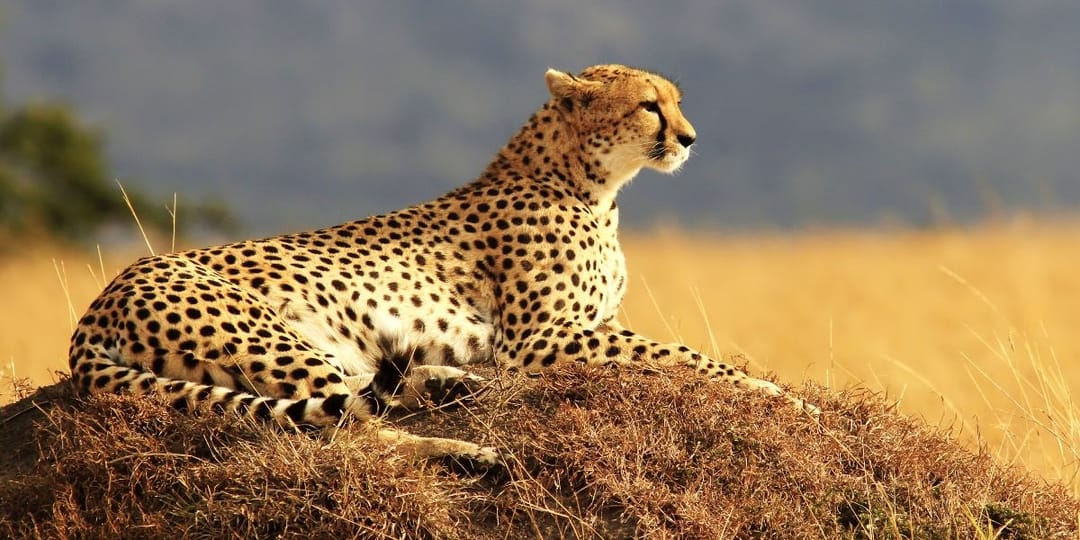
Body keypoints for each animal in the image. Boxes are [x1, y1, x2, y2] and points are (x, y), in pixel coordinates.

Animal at [68, 64, 818, 467]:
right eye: (648, 105)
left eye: (677, 101)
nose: (690, 138)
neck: (590, 183)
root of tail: (100, 300)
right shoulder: (542, 338)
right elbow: (681, 354)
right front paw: (780, 396)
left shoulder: (577, 329)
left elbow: (672, 351)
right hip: (267, 335)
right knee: (346, 430)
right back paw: (465, 448)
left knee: (364, 392)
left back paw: (454, 387)